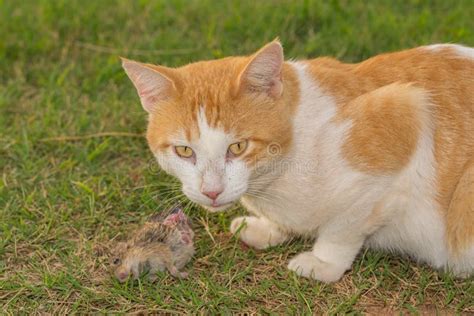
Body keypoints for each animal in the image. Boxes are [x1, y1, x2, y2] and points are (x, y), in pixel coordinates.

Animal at [120, 40, 472, 282]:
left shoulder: (405, 111)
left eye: (238, 146)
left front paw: (323, 263)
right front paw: (267, 229)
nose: (212, 191)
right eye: (184, 151)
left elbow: (343, 227)